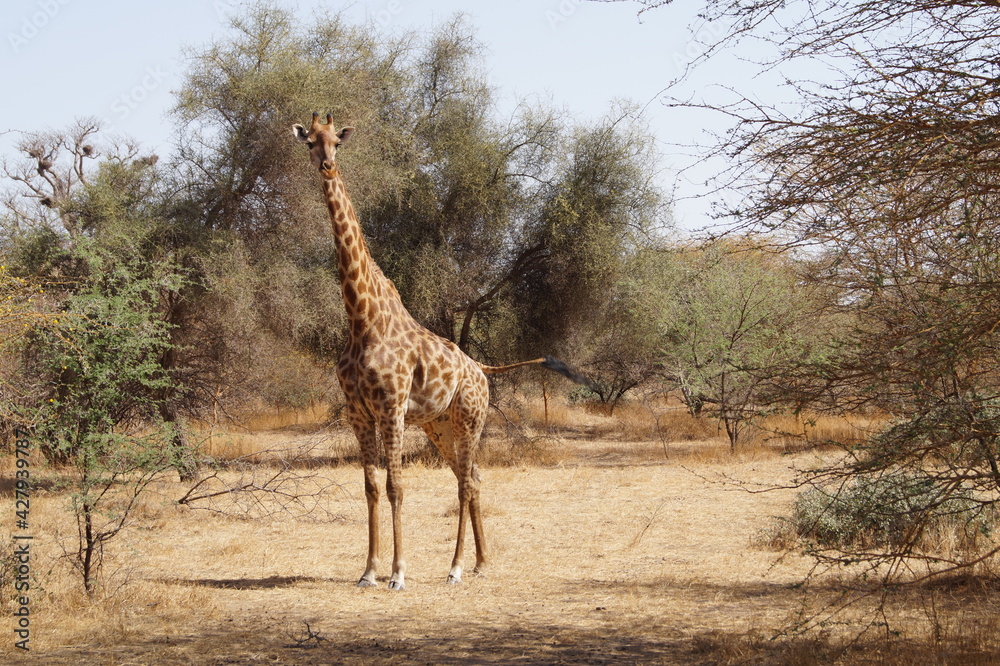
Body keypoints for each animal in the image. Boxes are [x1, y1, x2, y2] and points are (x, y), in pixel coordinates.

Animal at [293, 113, 585, 590]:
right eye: (310, 143)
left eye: (337, 140)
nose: (327, 165)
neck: (361, 317)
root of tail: (482, 368)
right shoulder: (358, 412)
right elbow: (370, 488)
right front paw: (368, 571)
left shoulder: (391, 407)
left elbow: (395, 487)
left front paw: (398, 573)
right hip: (439, 425)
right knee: (474, 477)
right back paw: (481, 562)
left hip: (469, 418)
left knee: (465, 481)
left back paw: (456, 567)